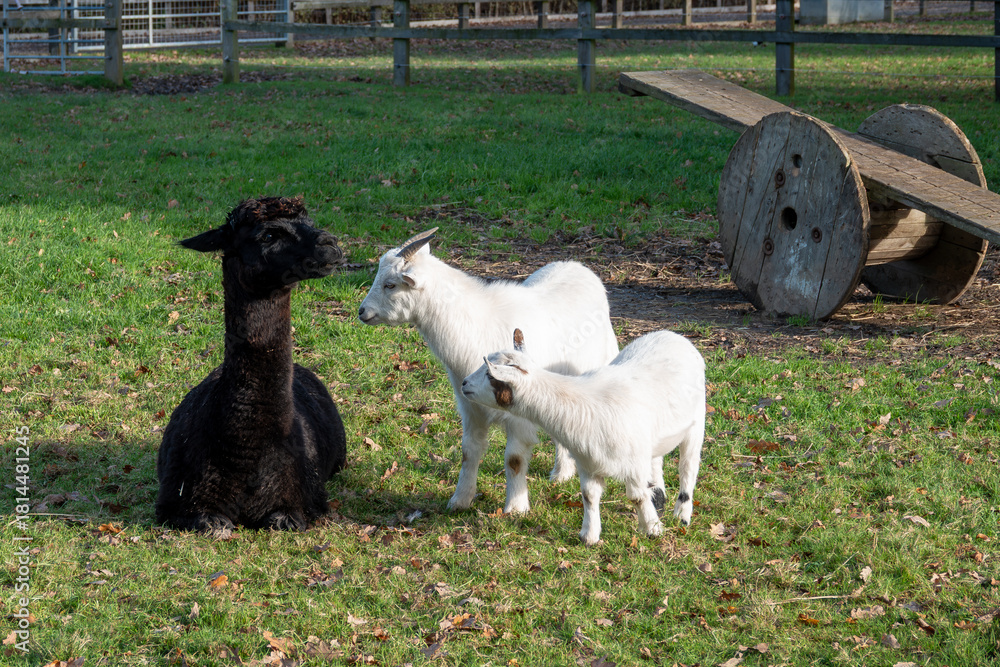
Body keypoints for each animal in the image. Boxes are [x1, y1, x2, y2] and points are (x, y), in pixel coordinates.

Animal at [156, 196, 348, 537]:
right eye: (268, 235)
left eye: (309, 222)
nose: (330, 245)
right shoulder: (179, 501)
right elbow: (210, 522)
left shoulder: (301, 501)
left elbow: (284, 519)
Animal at [357, 228, 625, 514]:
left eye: (390, 284)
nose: (362, 312)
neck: (474, 325)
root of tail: (576, 265)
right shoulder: (470, 406)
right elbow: (469, 451)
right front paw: (460, 500)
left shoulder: (518, 411)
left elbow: (514, 459)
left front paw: (516, 508)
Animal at [461, 328, 705, 545]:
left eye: (489, 375)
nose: (464, 383)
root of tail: (672, 335)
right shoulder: (588, 462)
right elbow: (589, 496)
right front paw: (589, 536)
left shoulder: (634, 464)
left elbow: (637, 496)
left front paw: (652, 529)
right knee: (657, 461)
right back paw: (660, 497)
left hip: (696, 423)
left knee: (688, 467)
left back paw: (682, 515)